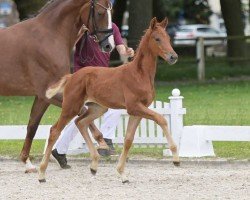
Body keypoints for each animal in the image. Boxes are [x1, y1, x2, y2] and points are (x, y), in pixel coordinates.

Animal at [39, 17, 179, 183]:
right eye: (157, 39)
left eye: (168, 38)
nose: (173, 57)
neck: (139, 74)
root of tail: (72, 76)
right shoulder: (134, 107)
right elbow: (161, 119)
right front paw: (176, 158)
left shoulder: (138, 111)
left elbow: (128, 140)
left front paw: (122, 174)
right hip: (71, 106)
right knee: (55, 130)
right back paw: (41, 173)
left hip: (98, 108)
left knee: (80, 123)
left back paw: (94, 165)